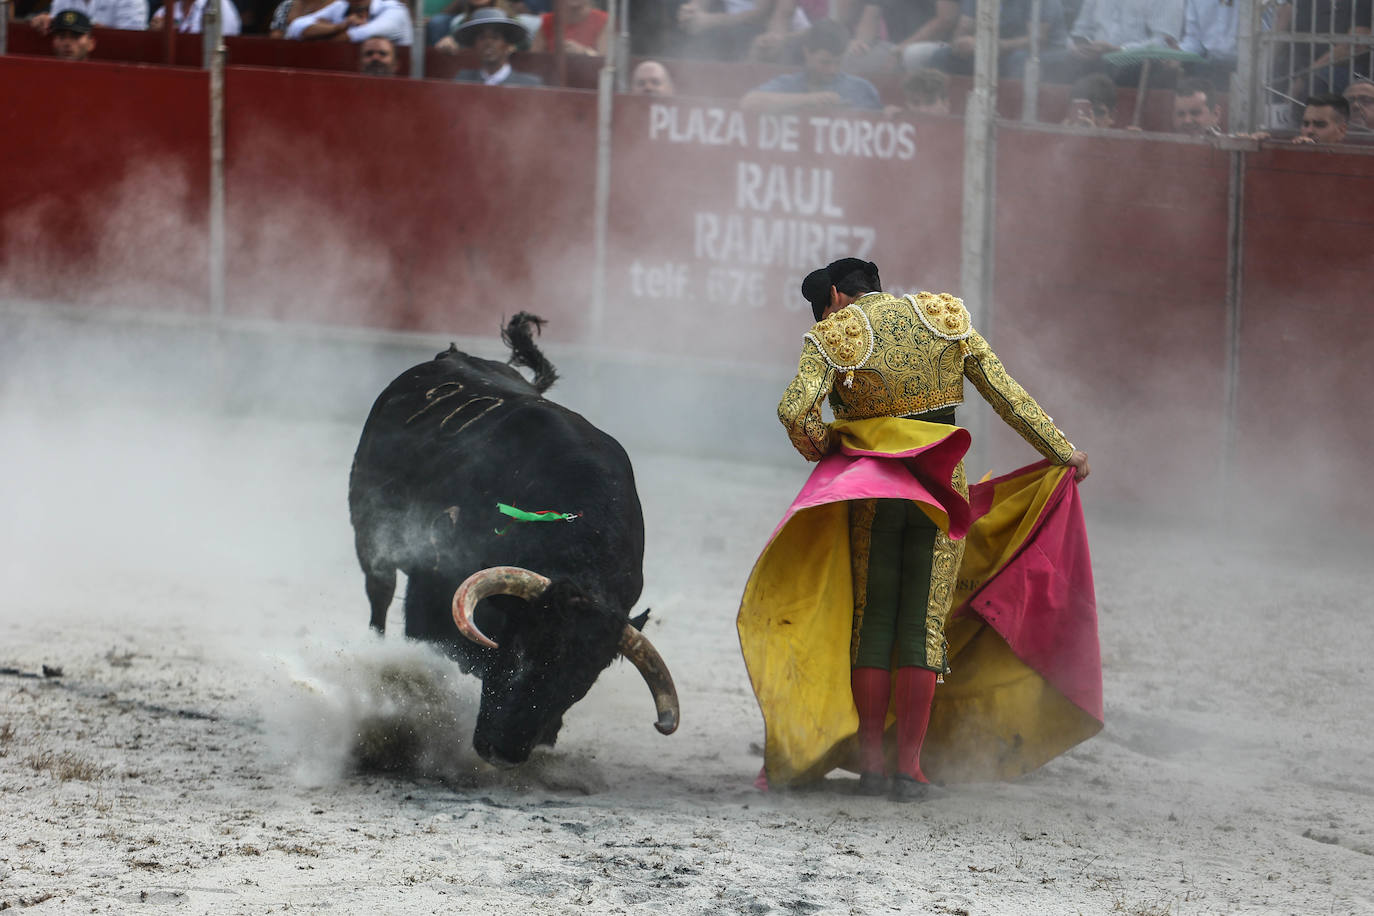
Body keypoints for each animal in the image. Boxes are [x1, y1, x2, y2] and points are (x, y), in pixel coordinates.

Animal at [346, 315, 678, 769]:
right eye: (520, 654)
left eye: (580, 683)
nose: (504, 753)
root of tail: (451, 356)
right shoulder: (430, 590)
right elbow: (434, 645)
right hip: (371, 532)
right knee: (379, 596)